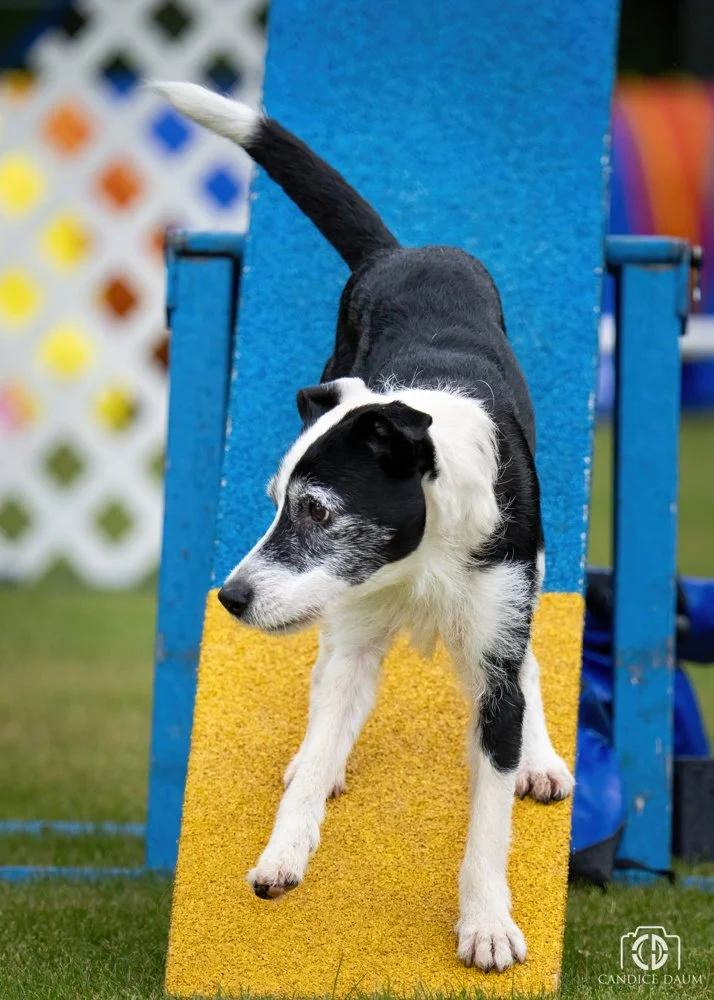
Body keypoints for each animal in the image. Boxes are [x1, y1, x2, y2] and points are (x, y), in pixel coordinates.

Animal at [156, 81, 574, 973]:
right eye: (276, 500)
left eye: (317, 510)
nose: (230, 598)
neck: (422, 558)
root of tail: (401, 251)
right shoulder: (351, 637)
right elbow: (322, 738)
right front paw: (284, 852)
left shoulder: (498, 635)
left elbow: (490, 814)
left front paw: (486, 925)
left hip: (533, 574)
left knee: (529, 663)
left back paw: (543, 760)